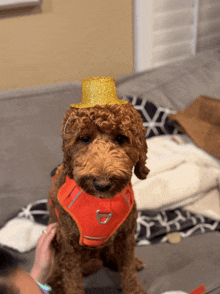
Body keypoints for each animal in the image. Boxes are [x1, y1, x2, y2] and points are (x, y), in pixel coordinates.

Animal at [46, 101, 150, 294]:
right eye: (85, 139)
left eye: (121, 138)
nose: (102, 184)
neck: (101, 202)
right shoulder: (68, 246)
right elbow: (72, 279)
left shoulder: (126, 234)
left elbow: (128, 268)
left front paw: (134, 288)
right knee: (57, 278)